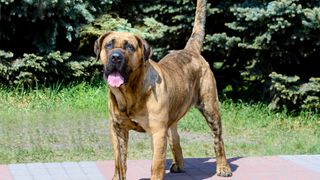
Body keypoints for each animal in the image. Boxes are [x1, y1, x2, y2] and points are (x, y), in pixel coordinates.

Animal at [94, 0, 231, 179]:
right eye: (108, 45)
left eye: (130, 47)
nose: (116, 57)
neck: (129, 93)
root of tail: (190, 50)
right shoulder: (117, 129)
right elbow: (119, 161)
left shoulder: (158, 132)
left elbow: (157, 164)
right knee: (175, 137)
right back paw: (179, 164)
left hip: (210, 107)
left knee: (218, 139)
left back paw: (223, 167)